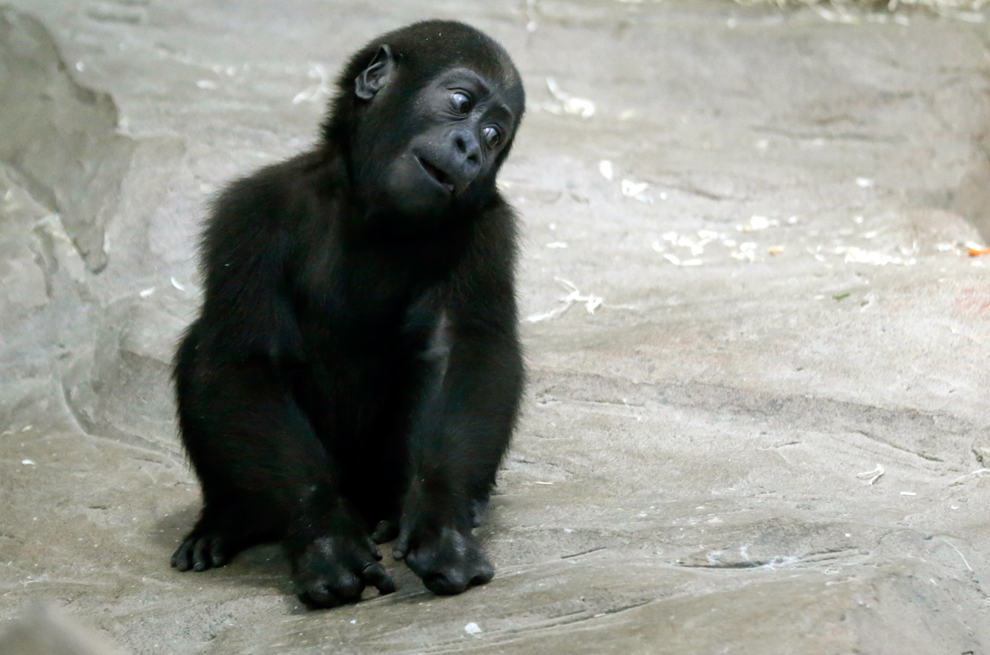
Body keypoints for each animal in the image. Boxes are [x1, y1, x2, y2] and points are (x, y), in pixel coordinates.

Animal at [170, 21, 528, 608]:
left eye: (495, 135)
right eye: (460, 103)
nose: (472, 151)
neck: (370, 207)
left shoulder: (484, 225)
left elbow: (460, 351)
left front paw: (442, 520)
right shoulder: (251, 210)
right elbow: (245, 360)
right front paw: (324, 535)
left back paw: (408, 510)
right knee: (203, 349)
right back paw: (230, 517)